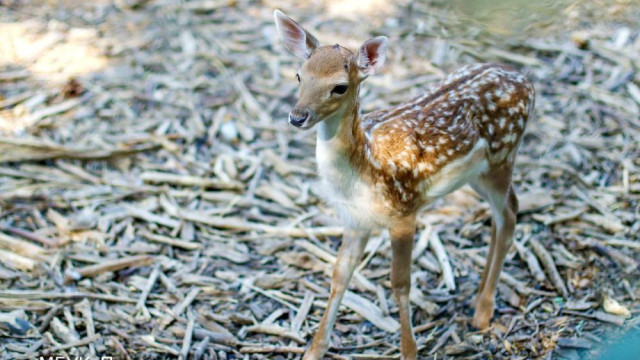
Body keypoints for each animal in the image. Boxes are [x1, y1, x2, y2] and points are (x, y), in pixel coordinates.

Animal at [274, 9, 536, 360]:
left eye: (340, 87)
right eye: (299, 75)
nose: (297, 116)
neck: (363, 169)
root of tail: (526, 80)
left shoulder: (404, 210)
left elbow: (400, 283)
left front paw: (409, 350)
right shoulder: (354, 219)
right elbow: (340, 275)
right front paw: (314, 350)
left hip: (502, 156)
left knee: (508, 215)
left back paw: (483, 311)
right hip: (478, 174)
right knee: (505, 210)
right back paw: (479, 296)